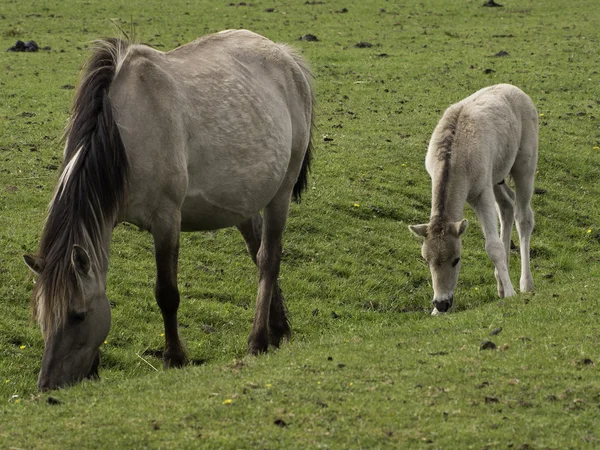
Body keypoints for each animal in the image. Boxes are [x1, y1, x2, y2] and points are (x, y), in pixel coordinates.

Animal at [23, 30, 314, 390]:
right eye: (42, 316)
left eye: (78, 315)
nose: (48, 385)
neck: (124, 132)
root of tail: (285, 56)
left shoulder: (166, 219)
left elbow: (167, 293)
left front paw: (174, 358)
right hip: (244, 203)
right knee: (258, 253)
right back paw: (279, 329)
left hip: (280, 195)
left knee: (269, 259)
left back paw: (258, 341)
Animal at [410, 85, 536, 316]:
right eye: (427, 260)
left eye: (456, 259)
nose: (442, 303)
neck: (455, 156)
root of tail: (515, 89)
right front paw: (434, 313)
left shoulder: (481, 192)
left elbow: (493, 246)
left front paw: (511, 293)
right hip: (496, 176)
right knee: (506, 206)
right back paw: (500, 285)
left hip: (525, 165)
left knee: (523, 217)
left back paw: (525, 285)